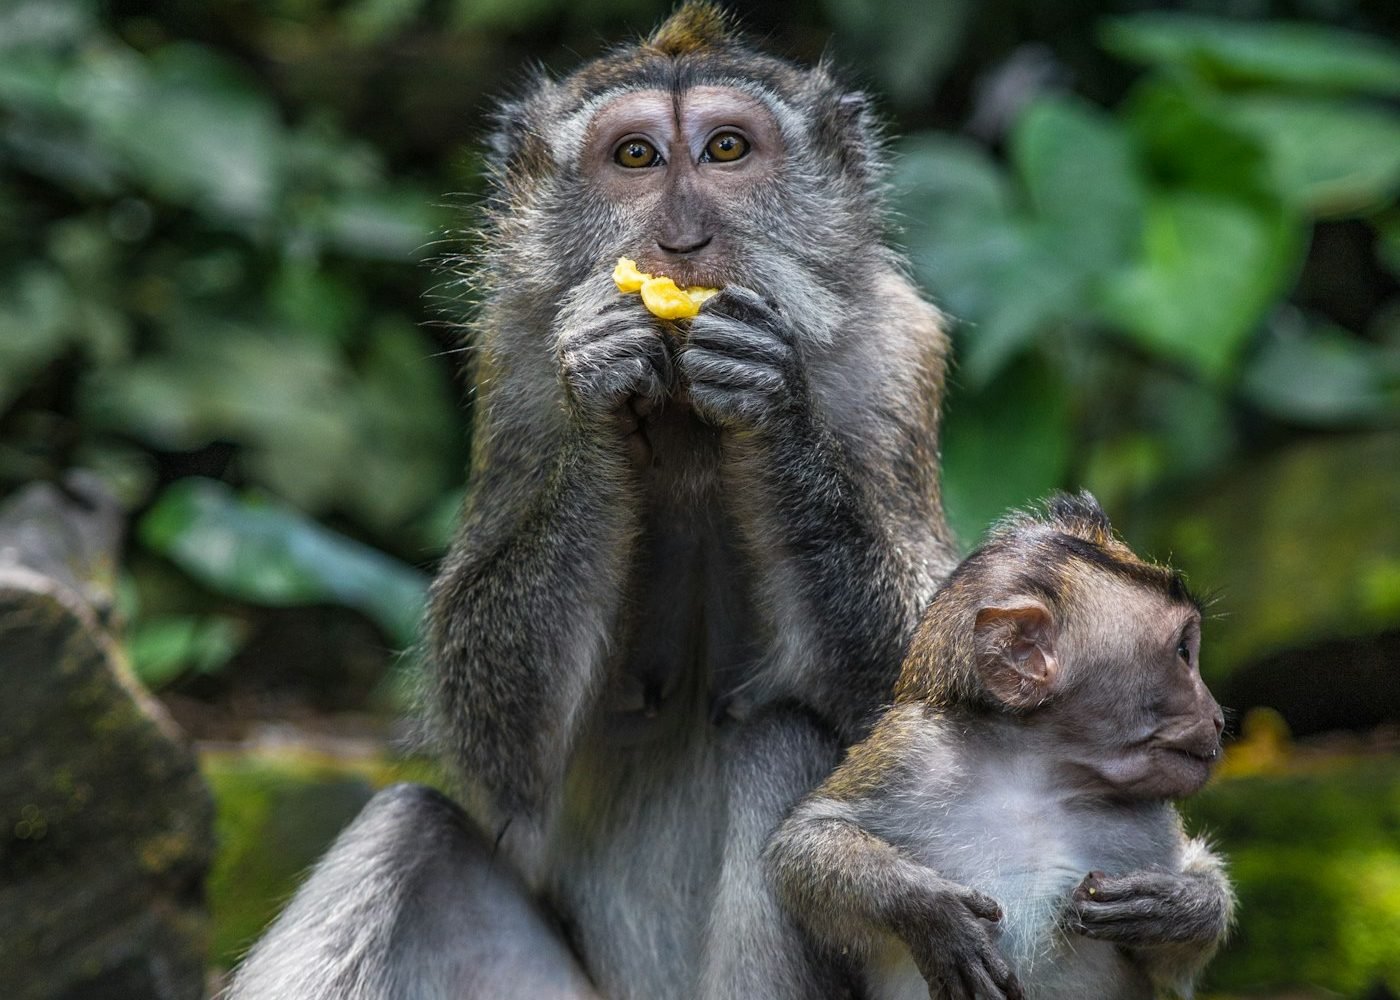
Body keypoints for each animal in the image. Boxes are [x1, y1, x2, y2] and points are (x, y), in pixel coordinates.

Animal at [228, 5, 959, 998]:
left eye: (728, 149)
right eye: (637, 157)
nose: (682, 243)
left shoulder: (896, 360)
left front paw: (773, 404)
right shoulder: (513, 369)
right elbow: (502, 748)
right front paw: (603, 391)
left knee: (780, 743)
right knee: (409, 828)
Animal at [764, 492, 1235, 1000]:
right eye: (1183, 652)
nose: (1217, 716)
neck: (1036, 773)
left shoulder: (1148, 820)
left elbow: (1171, 966)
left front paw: (1181, 905)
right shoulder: (913, 752)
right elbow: (803, 841)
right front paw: (932, 913)